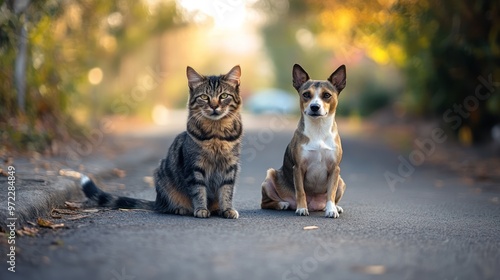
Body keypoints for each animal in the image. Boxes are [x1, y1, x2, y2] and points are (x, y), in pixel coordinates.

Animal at [81, 65, 243, 219]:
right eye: (204, 97)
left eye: (224, 96)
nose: (214, 106)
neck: (216, 134)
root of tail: (157, 201)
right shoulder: (194, 167)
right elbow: (198, 190)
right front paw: (201, 209)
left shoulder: (230, 167)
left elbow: (226, 191)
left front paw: (227, 209)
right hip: (162, 177)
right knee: (166, 207)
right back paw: (180, 209)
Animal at [262, 64, 348, 219]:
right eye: (306, 94)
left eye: (327, 95)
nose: (315, 107)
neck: (318, 130)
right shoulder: (298, 168)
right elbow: (300, 191)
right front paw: (302, 208)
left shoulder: (334, 169)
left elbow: (331, 193)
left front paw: (331, 209)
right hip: (270, 176)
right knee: (265, 203)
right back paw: (282, 204)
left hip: (341, 181)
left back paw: (335, 207)